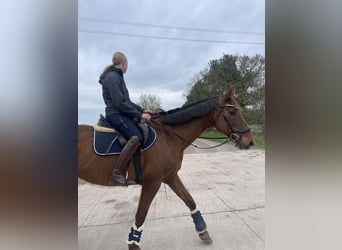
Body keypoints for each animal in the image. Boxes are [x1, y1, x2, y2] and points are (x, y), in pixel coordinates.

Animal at [78, 87, 254, 248]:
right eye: (232, 112)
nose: (250, 141)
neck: (169, 136)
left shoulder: (170, 177)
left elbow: (190, 200)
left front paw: (203, 231)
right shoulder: (153, 182)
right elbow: (140, 215)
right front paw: (133, 244)